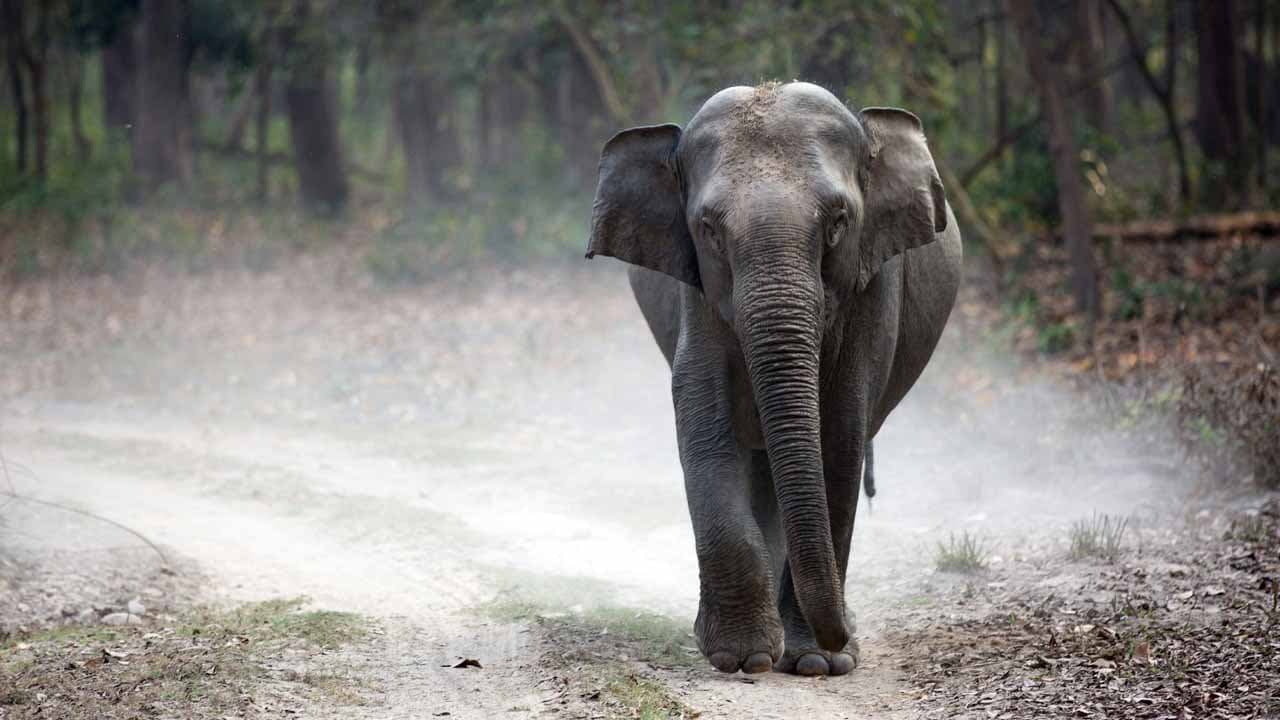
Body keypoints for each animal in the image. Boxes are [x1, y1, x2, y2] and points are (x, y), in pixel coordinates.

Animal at [585, 82, 961, 676]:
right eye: (709, 230)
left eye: (838, 222)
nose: (843, 636)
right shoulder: (697, 294)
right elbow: (704, 420)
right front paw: (743, 658)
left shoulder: (873, 287)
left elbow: (840, 436)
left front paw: (817, 664)